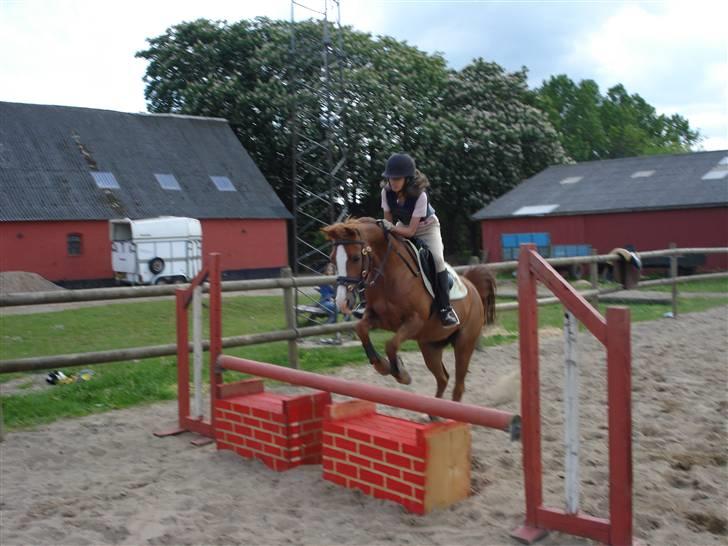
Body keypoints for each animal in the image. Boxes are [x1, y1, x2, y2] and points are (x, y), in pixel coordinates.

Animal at [322, 216, 498, 400]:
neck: (390, 274)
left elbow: (391, 345)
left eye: (356, 257)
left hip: (464, 344)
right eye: (332, 259)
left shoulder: (415, 321)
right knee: (442, 378)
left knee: (458, 385)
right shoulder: (378, 318)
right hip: (430, 345)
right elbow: (361, 328)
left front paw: (400, 374)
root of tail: (473, 287)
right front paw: (382, 365)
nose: (342, 302)